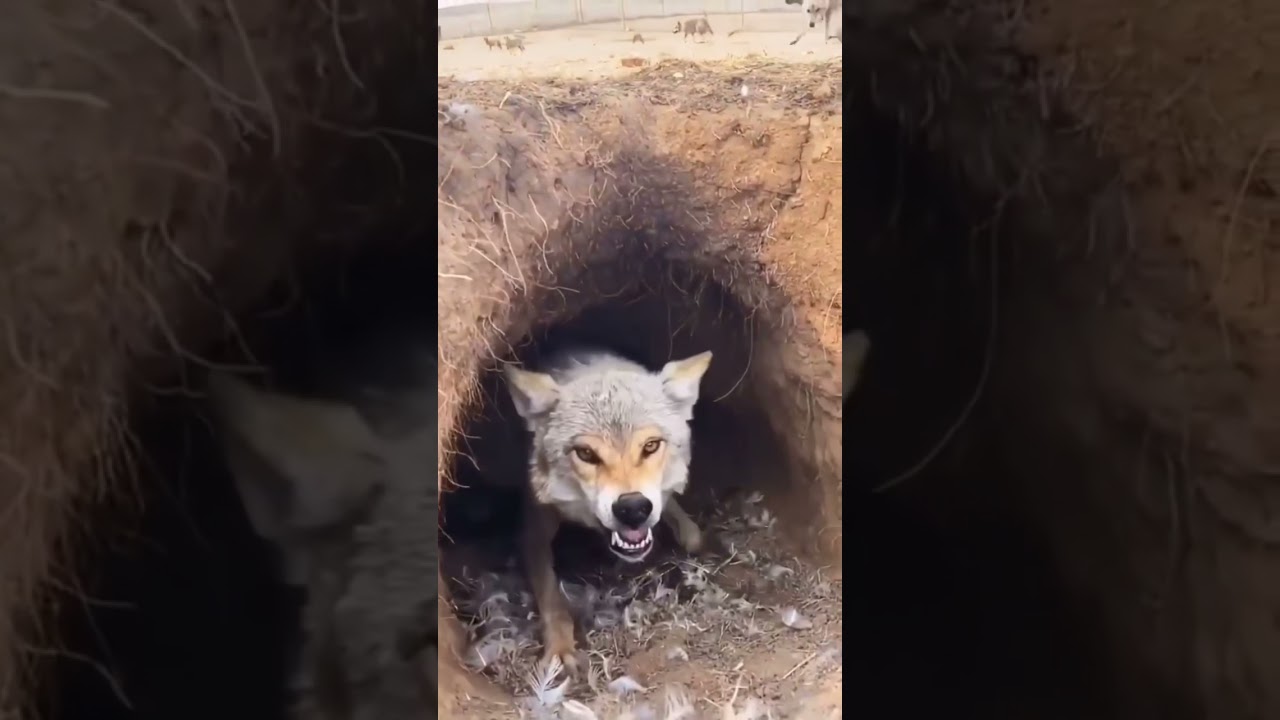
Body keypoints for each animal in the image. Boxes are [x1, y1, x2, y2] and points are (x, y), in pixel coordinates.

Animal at [502, 347, 713, 673]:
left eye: (651, 446)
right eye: (586, 453)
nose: (633, 507)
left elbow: (690, 534)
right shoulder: (532, 531)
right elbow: (552, 598)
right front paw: (560, 649)